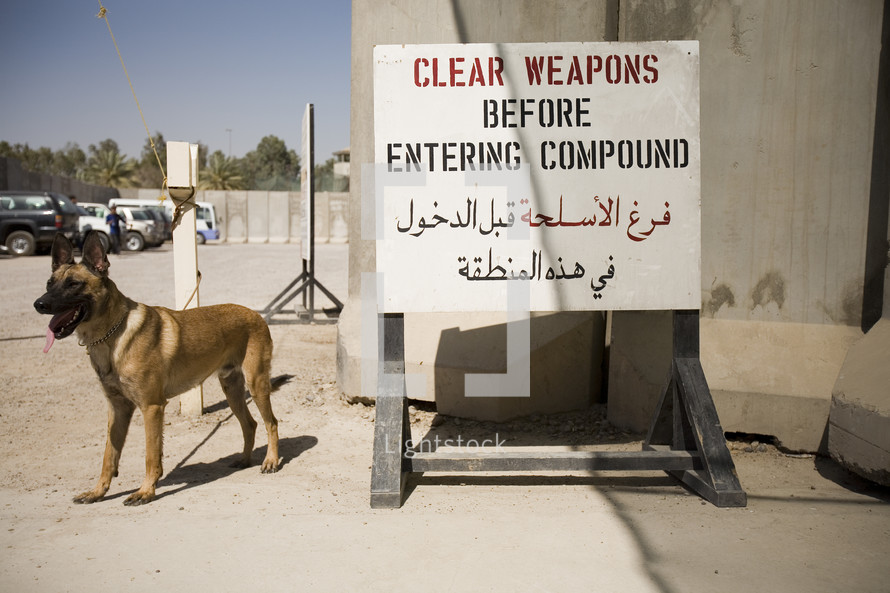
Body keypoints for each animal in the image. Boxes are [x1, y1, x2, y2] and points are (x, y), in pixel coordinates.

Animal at [34, 232, 280, 504]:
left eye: (73, 284)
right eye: (49, 283)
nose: (39, 304)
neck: (112, 336)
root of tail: (255, 314)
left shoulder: (151, 407)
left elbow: (151, 456)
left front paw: (145, 491)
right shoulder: (118, 409)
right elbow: (109, 456)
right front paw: (98, 491)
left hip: (256, 385)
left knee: (271, 423)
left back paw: (270, 461)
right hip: (232, 391)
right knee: (250, 424)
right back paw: (245, 459)